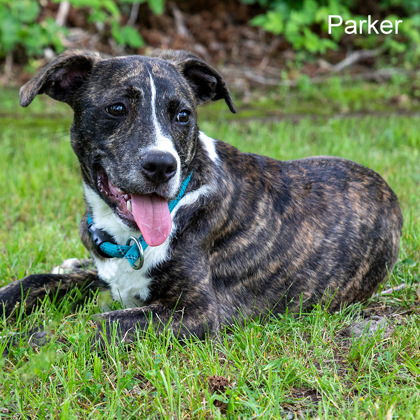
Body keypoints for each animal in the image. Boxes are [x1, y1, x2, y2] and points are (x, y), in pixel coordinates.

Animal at [0, 50, 404, 348]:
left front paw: (23, 340)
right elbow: (35, 281)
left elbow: (91, 325)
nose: (161, 165)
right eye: (116, 108)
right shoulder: (107, 278)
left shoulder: (196, 312)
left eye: (183, 115)